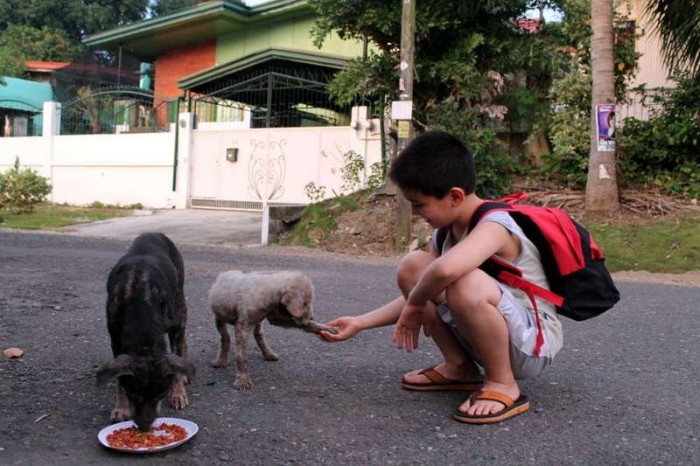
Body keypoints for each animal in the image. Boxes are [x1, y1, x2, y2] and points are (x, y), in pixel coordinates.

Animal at [96, 232, 194, 430]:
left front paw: (178, 393)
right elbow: (120, 379)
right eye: (133, 396)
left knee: (182, 341)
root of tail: (155, 233)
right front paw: (121, 407)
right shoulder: (115, 339)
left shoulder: (175, 325)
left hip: (180, 300)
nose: (144, 427)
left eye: (160, 395)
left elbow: (176, 360)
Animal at [208, 270, 336, 390]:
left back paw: (268, 354)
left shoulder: (276, 317)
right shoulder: (242, 327)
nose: (312, 317)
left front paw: (326, 328)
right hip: (219, 318)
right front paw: (242, 381)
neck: (269, 291)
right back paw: (220, 361)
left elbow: (303, 324)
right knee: (225, 337)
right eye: (305, 303)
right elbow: (241, 357)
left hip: (258, 322)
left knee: (259, 335)